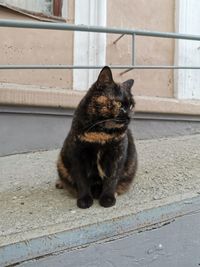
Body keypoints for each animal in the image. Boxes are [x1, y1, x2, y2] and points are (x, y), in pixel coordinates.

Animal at [56, 66, 138, 209]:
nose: (129, 116)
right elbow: (81, 179)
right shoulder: (78, 154)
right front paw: (84, 199)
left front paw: (108, 198)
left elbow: (112, 178)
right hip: (61, 161)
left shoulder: (117, 154)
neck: (101, 133)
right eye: (119, 104)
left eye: (131, 105)